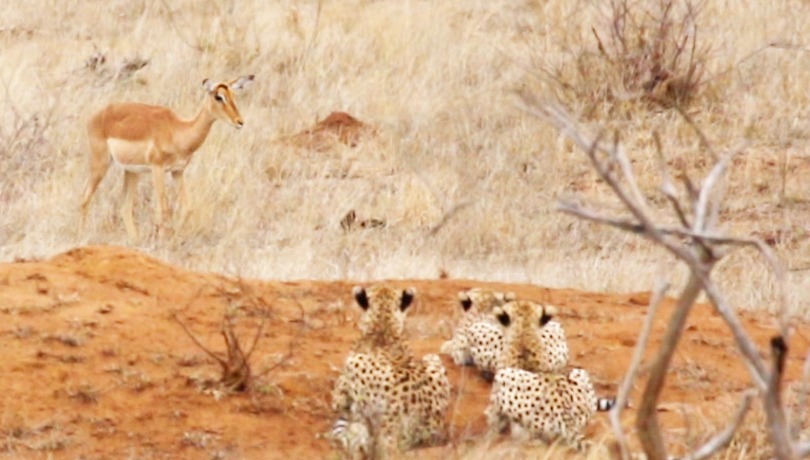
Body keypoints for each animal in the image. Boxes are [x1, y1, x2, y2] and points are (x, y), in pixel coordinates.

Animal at [80, 75, 254, 240]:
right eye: (218, 97)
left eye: (233, 95)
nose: (240, 122)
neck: (177, 131)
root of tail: (94, 116)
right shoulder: (158, 169)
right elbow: (163, 209)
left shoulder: (178, 172)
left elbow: (187, 209)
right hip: (101, 164)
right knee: (84, 200)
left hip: (132, 172)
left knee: (125, 208)